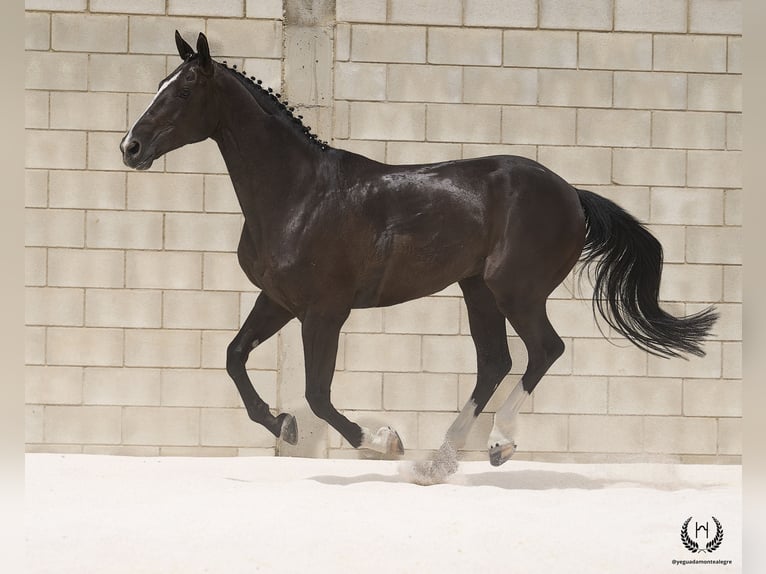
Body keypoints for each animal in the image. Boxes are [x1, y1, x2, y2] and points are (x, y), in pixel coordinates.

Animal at [120, 32, 720, 476]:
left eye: (181, 92)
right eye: (159, 84)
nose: (130, 147)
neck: (299, 194)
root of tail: (572, 195)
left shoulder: (324, 312)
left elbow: (317, 393)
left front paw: (381, 439)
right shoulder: (279, 300)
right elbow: (235, 358)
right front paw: (282, 424)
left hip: (515, 290)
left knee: (544, 350)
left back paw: (498, 443)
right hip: (477, 290)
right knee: (495, 362)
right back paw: (439, 460)